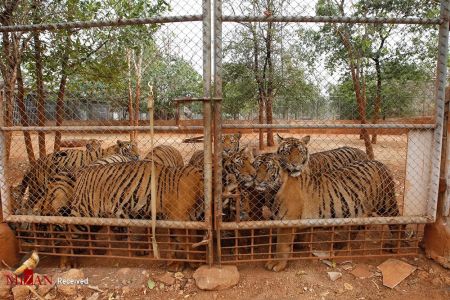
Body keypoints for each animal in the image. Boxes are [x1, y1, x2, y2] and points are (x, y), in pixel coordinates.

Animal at [266, 136, 400, 272]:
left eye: (300, 152)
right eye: (287, 152)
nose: (295, 165)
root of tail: (377, 161)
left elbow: (287, 241)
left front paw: (285, 256)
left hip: (386, 203)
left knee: (396, 221)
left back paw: (395, 246)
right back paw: (342, 244)